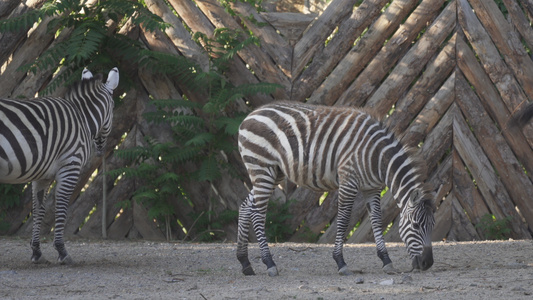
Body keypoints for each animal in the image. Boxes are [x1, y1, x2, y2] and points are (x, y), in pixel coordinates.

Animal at [0, 67, 118, 262]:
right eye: (114, 106)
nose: (101, 151)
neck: (81, 118)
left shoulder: (42, 176)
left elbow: (38, 210)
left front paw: (37, 252)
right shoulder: (70, 166)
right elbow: (61, 207)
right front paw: (62, 251)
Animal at [236, 101, 432, 276]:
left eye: (432, 225)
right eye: (415, 225)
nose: (428, 264)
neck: (377, 158)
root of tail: (250, 115)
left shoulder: (372, 188)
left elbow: (376, 220)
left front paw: (386, 260)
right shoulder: (348, 182)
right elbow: (344, 220)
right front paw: (340, 262)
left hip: (273, 173)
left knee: (245, 207)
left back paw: (245, 263)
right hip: (262, 168)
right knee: (258, 214)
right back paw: (269, 263)